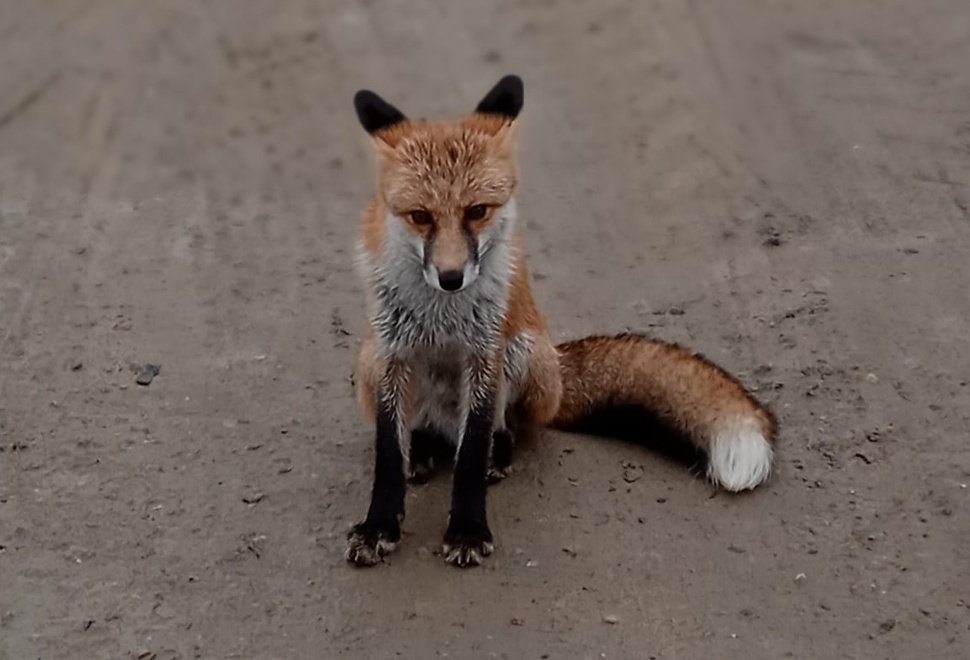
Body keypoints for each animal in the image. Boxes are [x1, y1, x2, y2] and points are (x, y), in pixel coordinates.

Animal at [344, 73, 776, 568]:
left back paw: (497, 454)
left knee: (500, 429)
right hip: (369, 361)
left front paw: (468, 530)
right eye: (420, 217)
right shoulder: (393, 354)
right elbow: (387, 454)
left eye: (477, 211)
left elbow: (471, 452)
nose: (451, 278)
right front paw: (379, 527)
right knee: (420, 432)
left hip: (524, 354)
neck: (440, 314)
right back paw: (419, 451)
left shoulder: (485, 355)